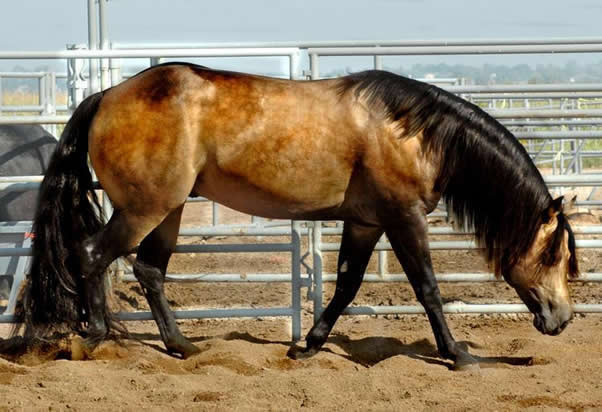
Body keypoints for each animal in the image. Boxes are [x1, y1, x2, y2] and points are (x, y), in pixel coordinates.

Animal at [17, 64, 576, 370]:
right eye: (556, 252)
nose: (562, 319)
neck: (413, 132)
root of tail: (105, 96)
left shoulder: (366, 222)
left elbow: (346, 285)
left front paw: (307, 346)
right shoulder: (404, 218)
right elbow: (428, 289)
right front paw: (458, 355)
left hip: (168, 210)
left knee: (149, 270)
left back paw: (181, 347)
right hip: (144, 208)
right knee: (92, 254)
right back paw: (91, 335)